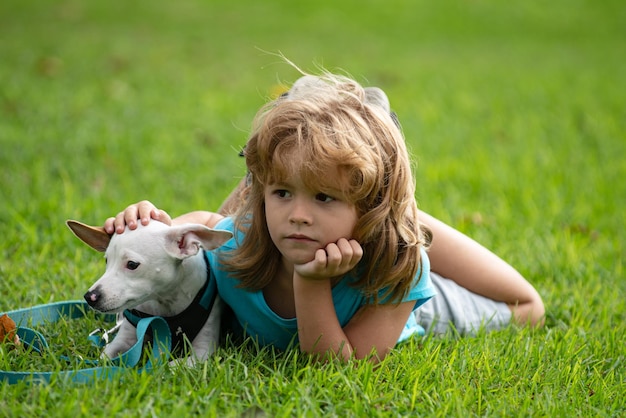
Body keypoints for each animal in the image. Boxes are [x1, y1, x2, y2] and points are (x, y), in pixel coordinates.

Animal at [66, 220, 232, 364]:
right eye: (107, 261)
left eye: (132, 264)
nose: (90, 297)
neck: (166, 301)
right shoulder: (124, 339)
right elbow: (104, 358)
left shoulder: (203, 350)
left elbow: (173, 366)